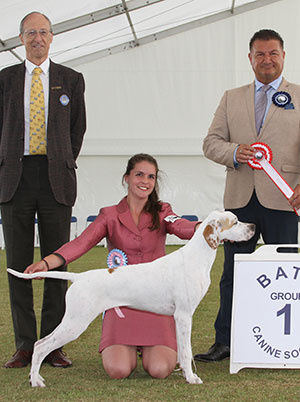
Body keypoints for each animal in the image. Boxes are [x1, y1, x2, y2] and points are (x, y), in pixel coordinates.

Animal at [8, 210, 254, 386]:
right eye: (235, 221)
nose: (253, 226)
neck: (196, 257)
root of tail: (78, 277)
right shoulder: (184, 315)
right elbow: (186, 351)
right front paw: (191, 378)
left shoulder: (180, 317)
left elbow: (181, 350)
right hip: (75, 322)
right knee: (41, 345)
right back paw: (36, 380)